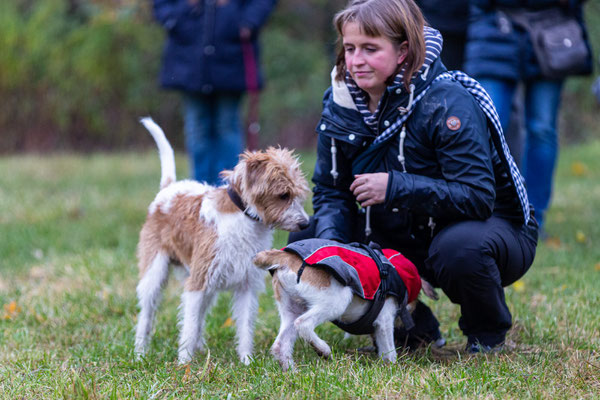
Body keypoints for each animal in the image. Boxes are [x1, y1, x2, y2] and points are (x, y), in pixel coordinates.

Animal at [135, 117, 310, 364]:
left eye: (298, 194)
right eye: (284, 195)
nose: (305, 224)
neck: (244, 216)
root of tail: (168, 189)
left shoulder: (246, 285)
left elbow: (245, 327)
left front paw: (247, 361)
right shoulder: (197, 282)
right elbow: (188, 326)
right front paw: (184, 365)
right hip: (155, 271)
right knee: (147, 314)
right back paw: (140, 353)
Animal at [251, 238, 438, 372]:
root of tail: (287, 257)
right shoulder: (384, 320)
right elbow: (388, 348)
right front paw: (393, 367)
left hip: (292, 308)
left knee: (280, 345)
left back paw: (292, 372)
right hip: (336, 301)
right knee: (303, 324)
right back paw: (323, 350)